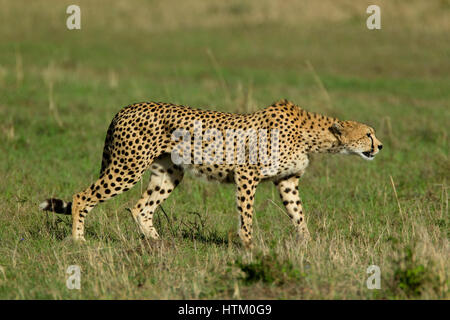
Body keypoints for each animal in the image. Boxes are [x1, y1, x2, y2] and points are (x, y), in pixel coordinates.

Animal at [40, 99, 382, 248]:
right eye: (368, 133)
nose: (379, 146)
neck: (312, 134)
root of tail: (126, 108)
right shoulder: (247, 174)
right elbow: (247, 213)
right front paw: (248, 245)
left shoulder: (287, 181)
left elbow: (299, 214)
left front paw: (307, 243)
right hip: (128, 166)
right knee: (82, 196)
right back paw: (78, 241)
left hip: (169, 172)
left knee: (141, 207)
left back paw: (159, 243)